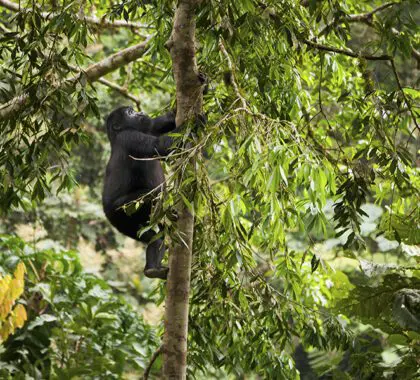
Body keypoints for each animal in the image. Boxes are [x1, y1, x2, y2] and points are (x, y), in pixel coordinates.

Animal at [103, 106, 180, 280]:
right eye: (130, 113)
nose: (140, 112)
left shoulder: (145, 127)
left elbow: (156, 124)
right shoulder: (130, 137)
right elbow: (161, 145)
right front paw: (197, 122)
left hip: (126, 226)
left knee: (155, 238)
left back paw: (152, 270)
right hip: (120, 211)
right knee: (151, 195)